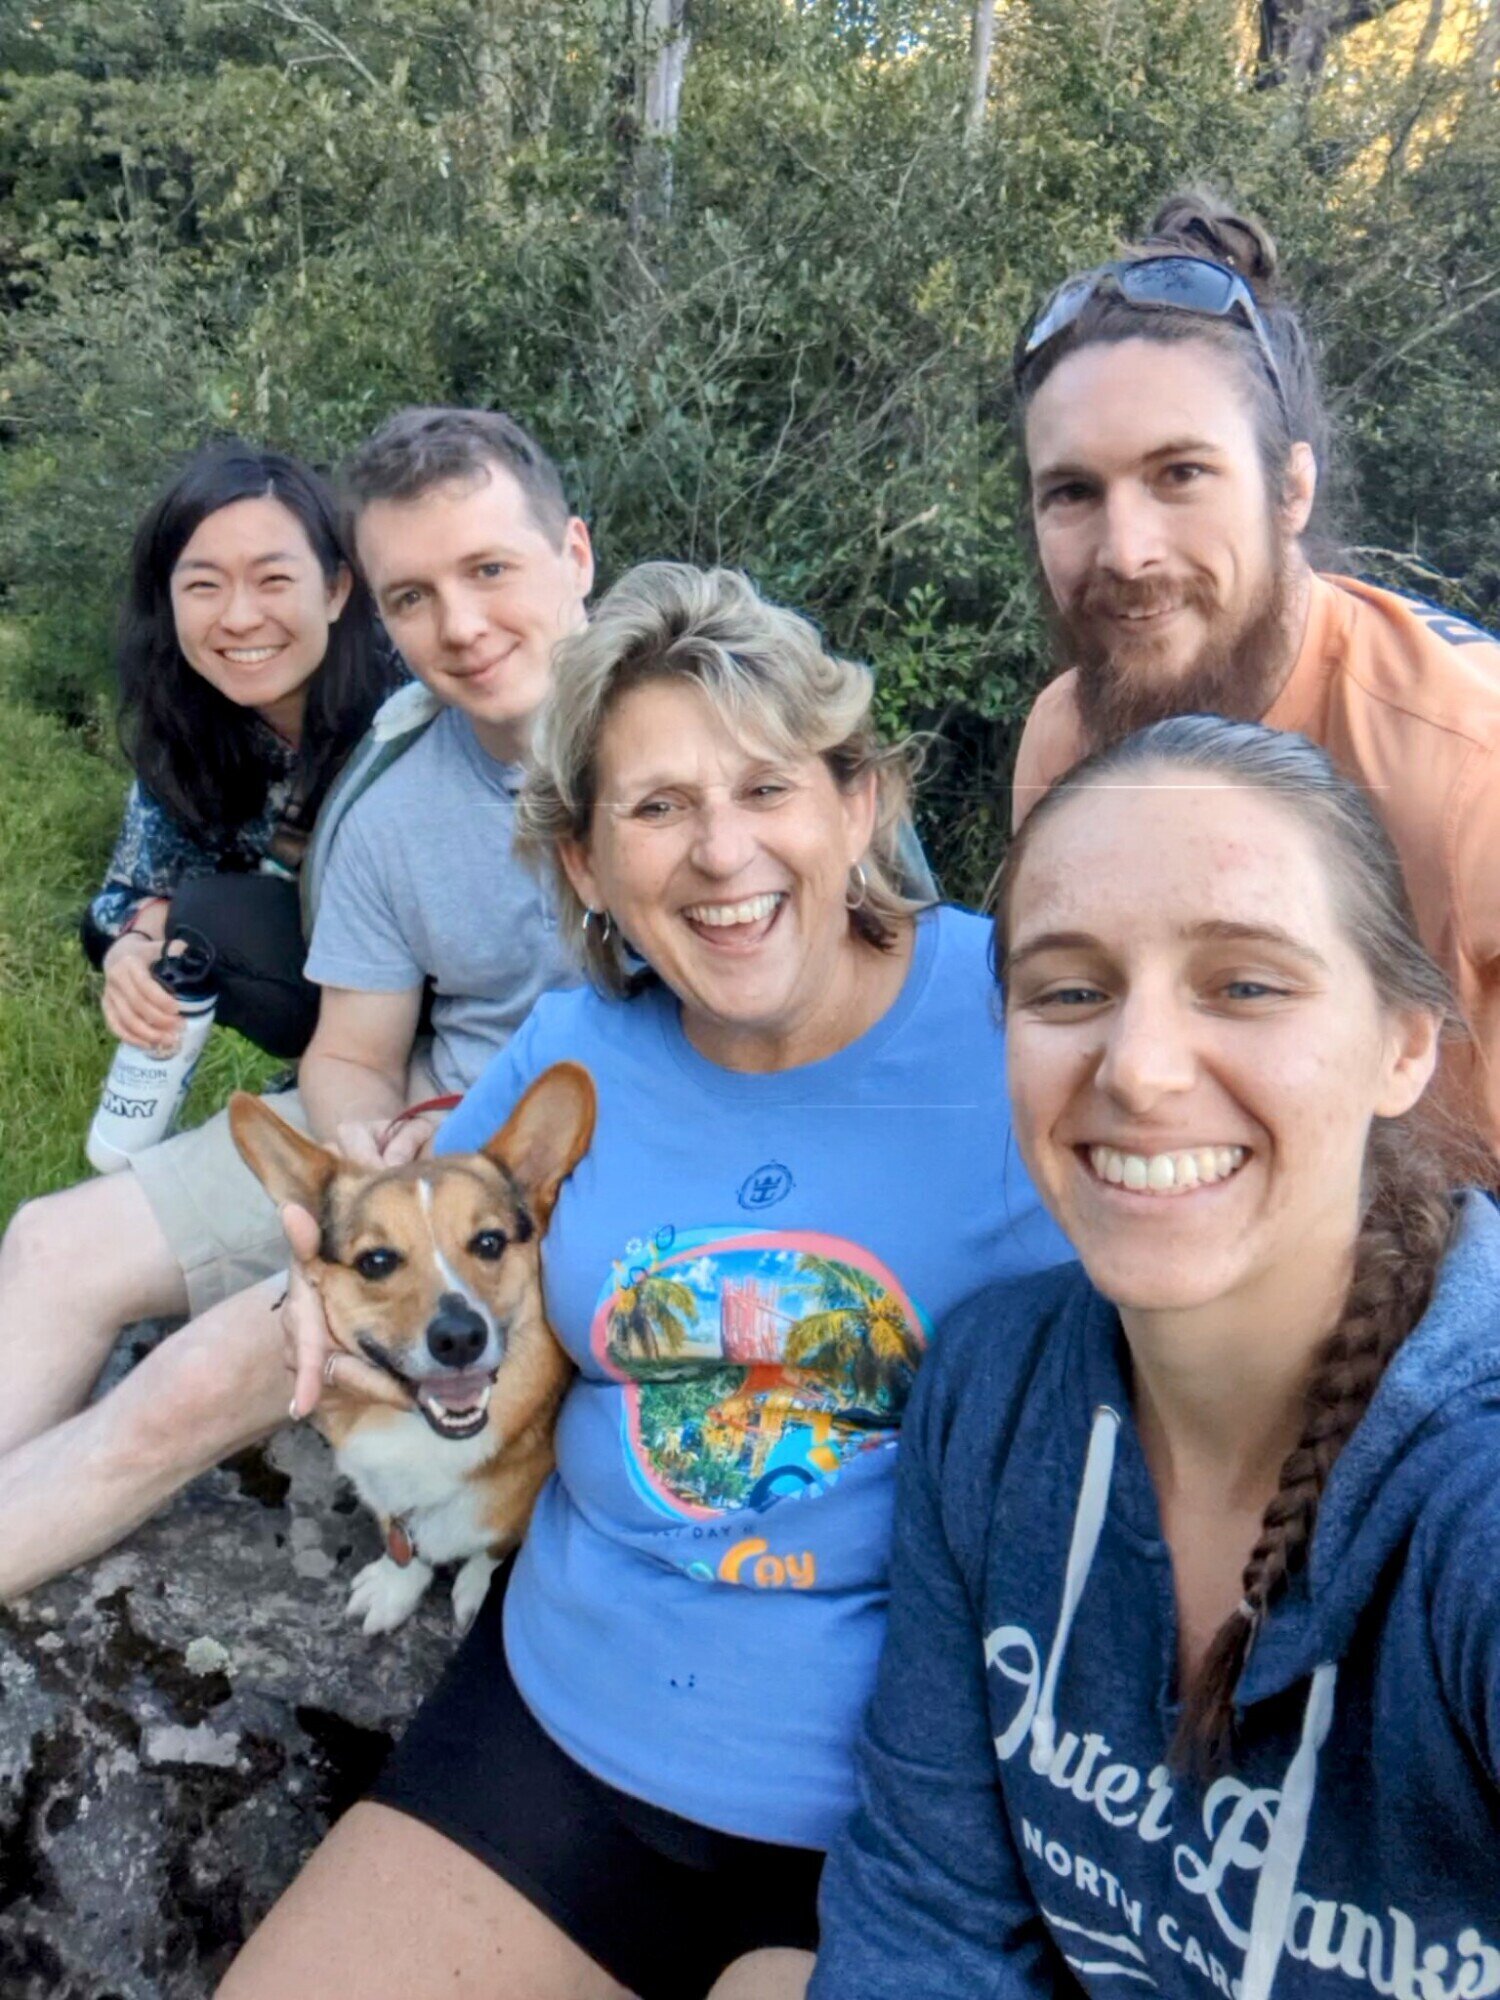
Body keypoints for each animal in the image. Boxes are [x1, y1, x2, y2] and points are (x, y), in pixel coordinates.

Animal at [229, 1063, 595, 1634]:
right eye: (376, 1261)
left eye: (489, 1242)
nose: (460, 1337)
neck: (427, 1444)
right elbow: (404, 1544)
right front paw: (398, 1584)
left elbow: (491, 1547)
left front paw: (474, 1585)